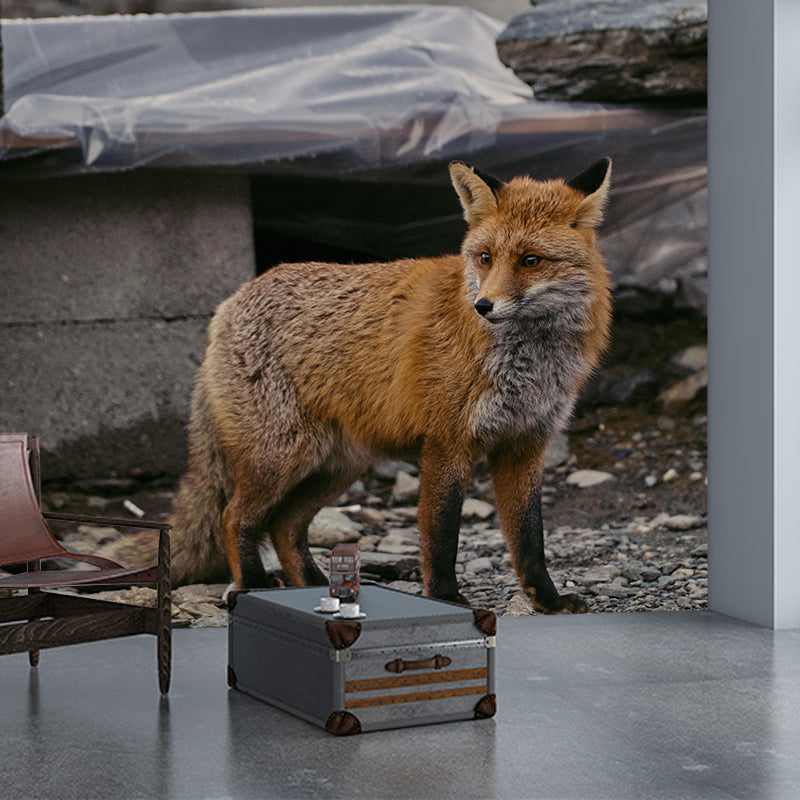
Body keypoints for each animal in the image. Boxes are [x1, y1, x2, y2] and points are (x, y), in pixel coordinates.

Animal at [104, 159, 612, 614]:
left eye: (531, 261)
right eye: (485, 258)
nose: (483, 305)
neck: (528, 361)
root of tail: (229, 303)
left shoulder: (525, 445)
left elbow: (530, 539)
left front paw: (548, 601)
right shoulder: (447, 442)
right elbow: (442, 535)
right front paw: (446, 598)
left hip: (337, 467)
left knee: (284, 527)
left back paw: (313, 588)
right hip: (282, 458)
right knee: (236, 518)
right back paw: (254, 586)